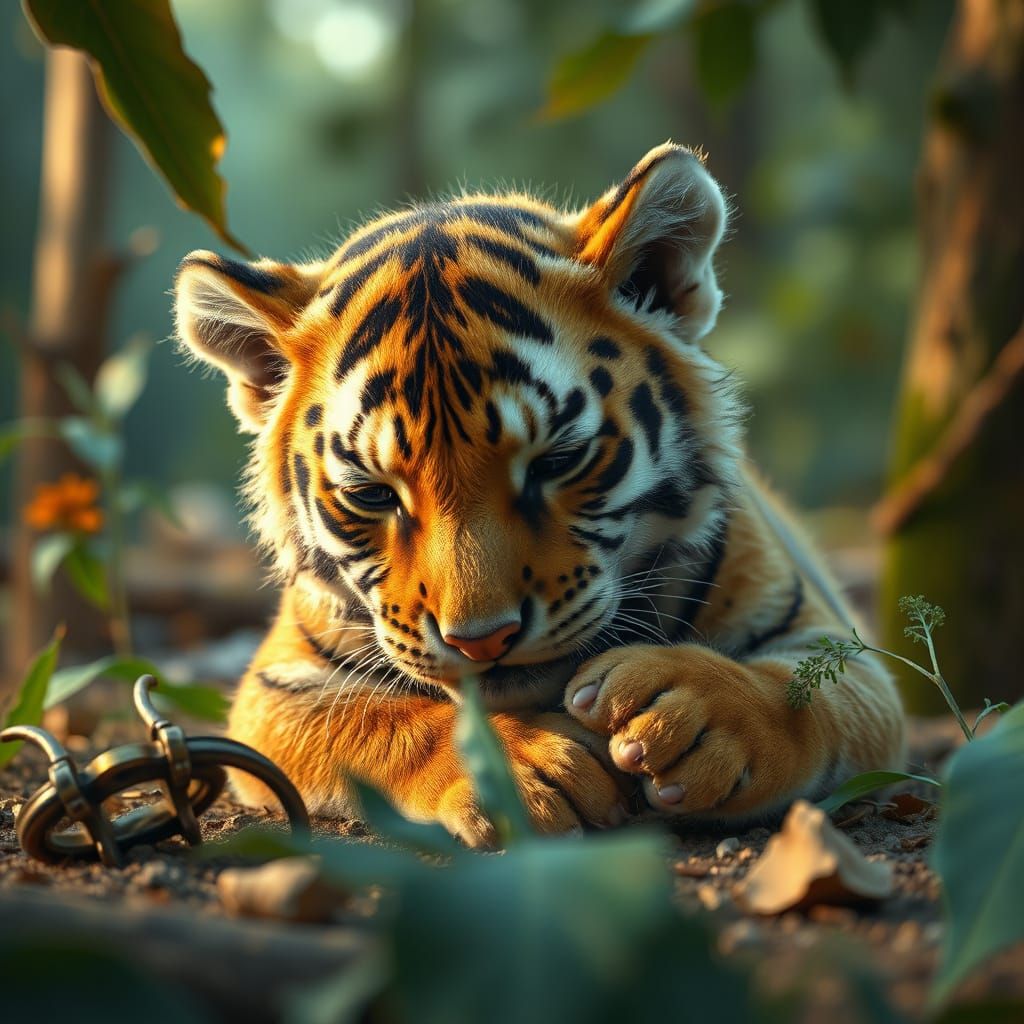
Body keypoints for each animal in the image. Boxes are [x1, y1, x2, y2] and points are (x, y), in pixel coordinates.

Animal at [174, 143, 905, 846]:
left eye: (559, 460)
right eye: (373, 494)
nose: (481, 642)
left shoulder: (830, 640)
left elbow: (802, 693)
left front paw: (695, 716)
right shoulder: (276, 685)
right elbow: (389, 719)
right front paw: (523, 771)